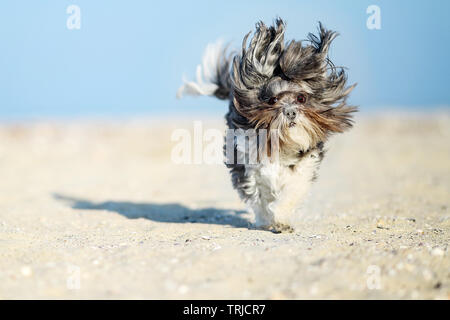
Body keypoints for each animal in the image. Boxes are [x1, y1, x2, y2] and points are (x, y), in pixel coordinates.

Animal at [178, 18, 356, 232]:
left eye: (301, 98)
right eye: (272, 100)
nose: (290, 111)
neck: (283, 144)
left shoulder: (304, 165)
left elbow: (292, 191)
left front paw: (281, 218)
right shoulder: (248, 165)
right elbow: (258, 195)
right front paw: (267, 219)